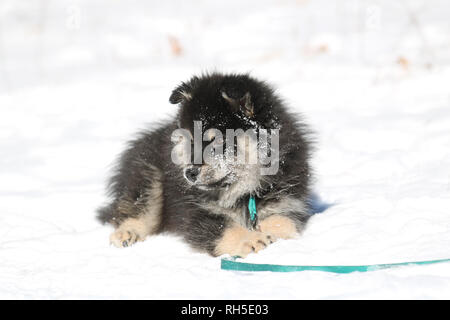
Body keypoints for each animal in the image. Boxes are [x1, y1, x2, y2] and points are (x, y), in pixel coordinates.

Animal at [96, 72, 312, 258]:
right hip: (148, 175)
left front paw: (272, 234)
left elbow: (282, 222)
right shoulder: (197, 214)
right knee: (137, 209)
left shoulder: (287, 201)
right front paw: (251, 240)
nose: (189, 173)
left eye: (218, 140)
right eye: (191, 141)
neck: (244, 192)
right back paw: (126, 233)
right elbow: (226, 229)